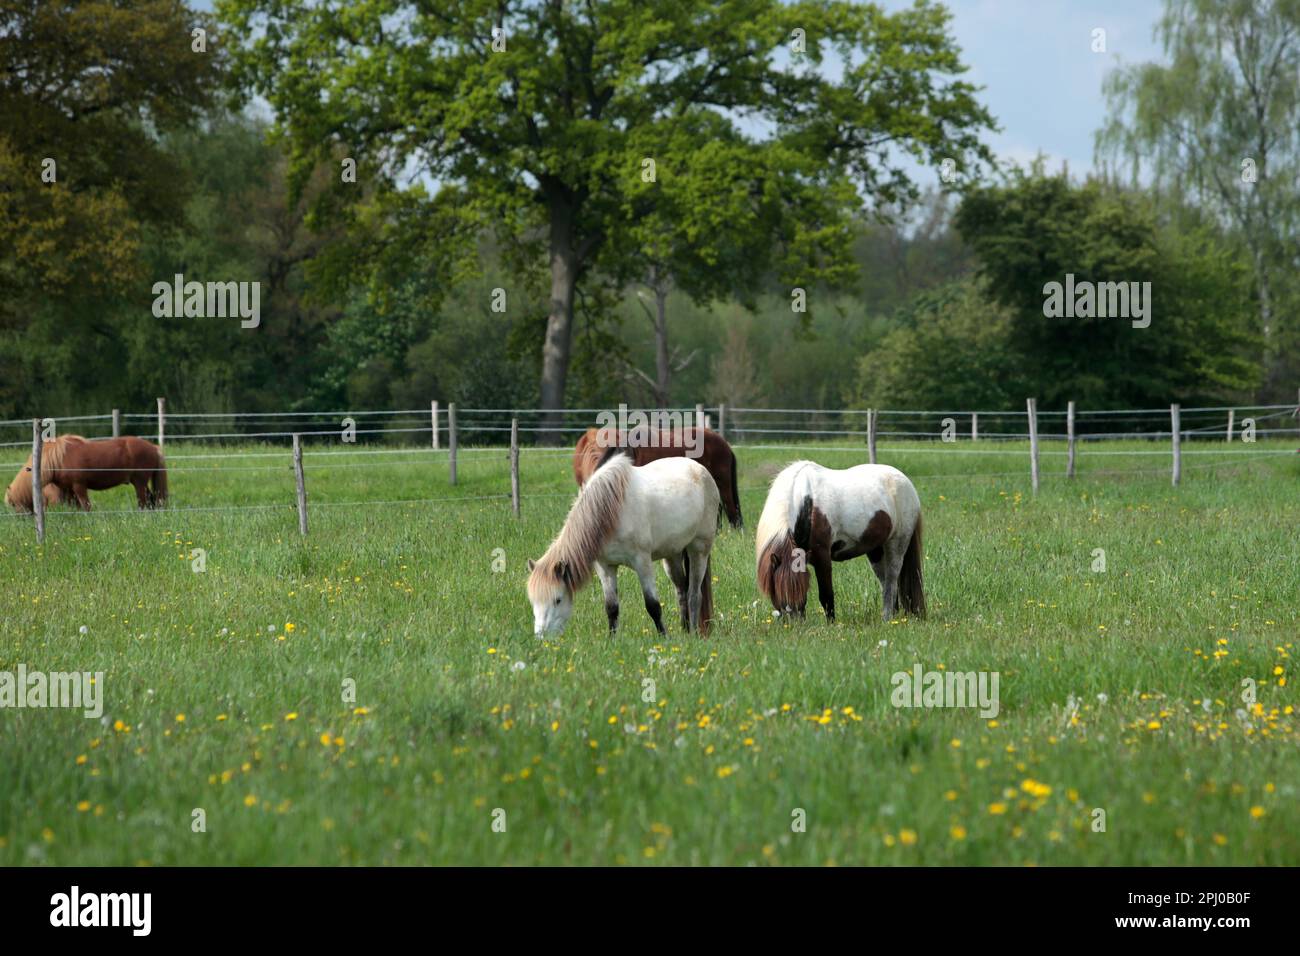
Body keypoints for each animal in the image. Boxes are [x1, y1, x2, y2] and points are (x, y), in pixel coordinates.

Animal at [4, 434, 167, 512]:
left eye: (13, 504)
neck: (57, 459)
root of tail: (154, 447)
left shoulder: (79, 486)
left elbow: (86, 506)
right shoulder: (68, 490)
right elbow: (74, 507)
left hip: (139, 483)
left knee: (144, 502)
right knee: (152, 500)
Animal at [525, 452, 722, 639]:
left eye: (557, 600)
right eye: (533, 601)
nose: (541, 638)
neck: (610, 512)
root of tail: (700, 469)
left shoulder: (642, 561)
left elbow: (653, 605)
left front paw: (664, 638)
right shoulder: (605, 567)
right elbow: (611, 608)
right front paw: (611, 641)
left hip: (699, 550)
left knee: (694, 595)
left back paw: (694, 634)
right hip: (672, 555)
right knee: (682, 590)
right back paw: (685, 631)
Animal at [754, 463, 925, 624]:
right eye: (777, 590)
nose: (795, 624)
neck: (804, 503)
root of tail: (906, 482)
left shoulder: (822, 557)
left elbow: (826, 596)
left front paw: (831, 625)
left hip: (897, 544)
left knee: (891, 581)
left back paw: (887, 618)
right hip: (876, 551)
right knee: (886, 583)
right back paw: (891, 618)